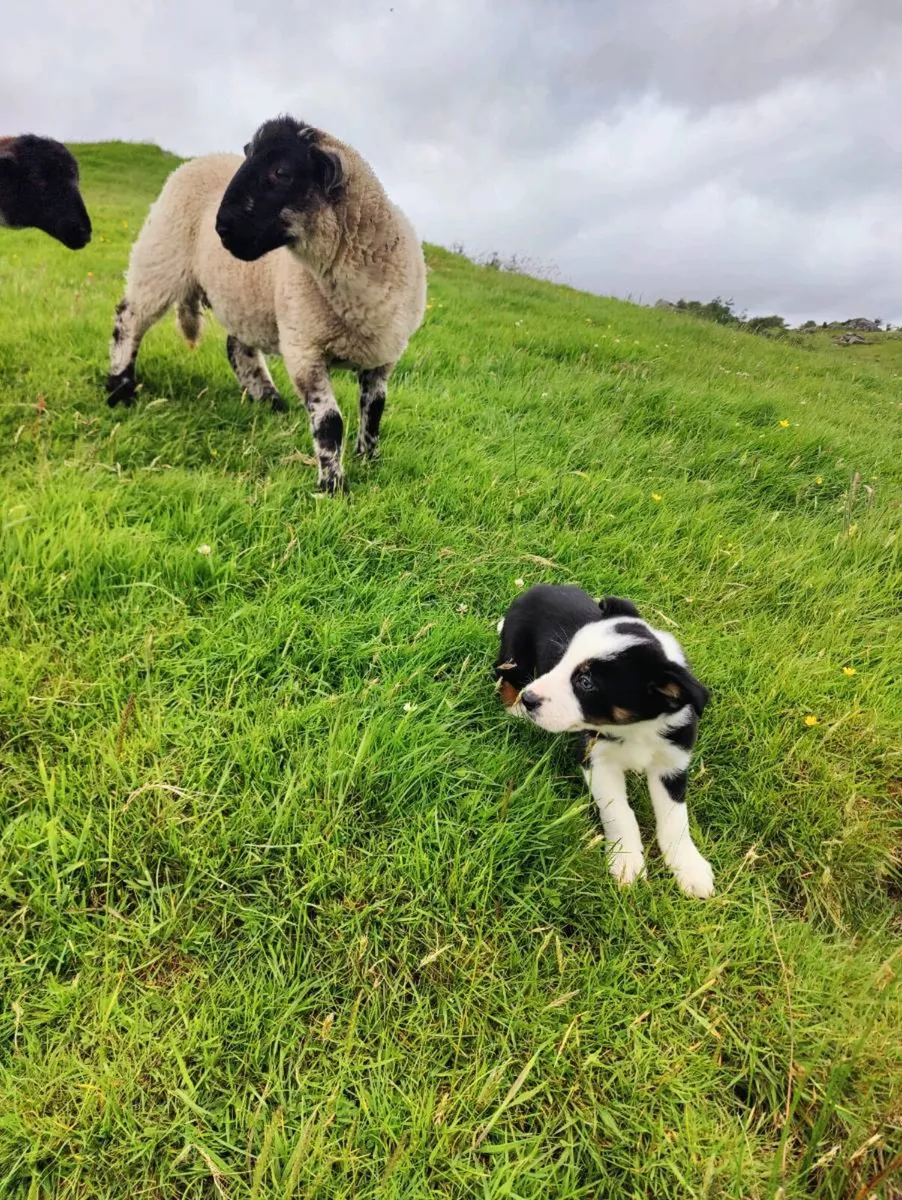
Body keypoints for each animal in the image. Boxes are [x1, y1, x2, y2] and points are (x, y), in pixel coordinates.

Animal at [107, 115, 427, 494]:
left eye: (281, 171)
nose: (221, 228)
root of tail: (198, 160)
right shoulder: (305, 350)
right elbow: (330, 422)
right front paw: (333, 486)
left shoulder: (383, 358)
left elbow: (374, 411)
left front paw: (370, 460)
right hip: (160, 259)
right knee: (129, 319)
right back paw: (120, 388)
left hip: (245, 299)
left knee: (237, 347)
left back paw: (270, 400)